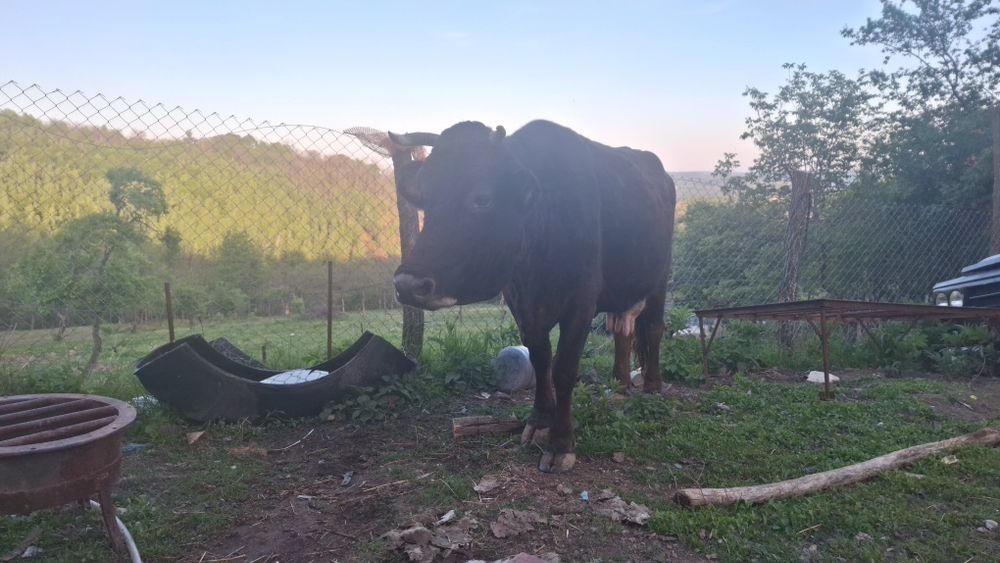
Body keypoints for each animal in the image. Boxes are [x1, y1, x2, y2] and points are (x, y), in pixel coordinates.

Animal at [389, 120, 676, 473]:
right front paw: (540, 421)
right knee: (623, 331)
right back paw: (620, 386)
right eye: (425, 198)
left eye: (482, 198)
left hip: (660, 276)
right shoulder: (520, 302)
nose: (407, 284)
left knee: (654, 329)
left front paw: (561, 443)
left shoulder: (582, 301)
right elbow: (540, 360)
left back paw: (652, 387)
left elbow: (564, 369)